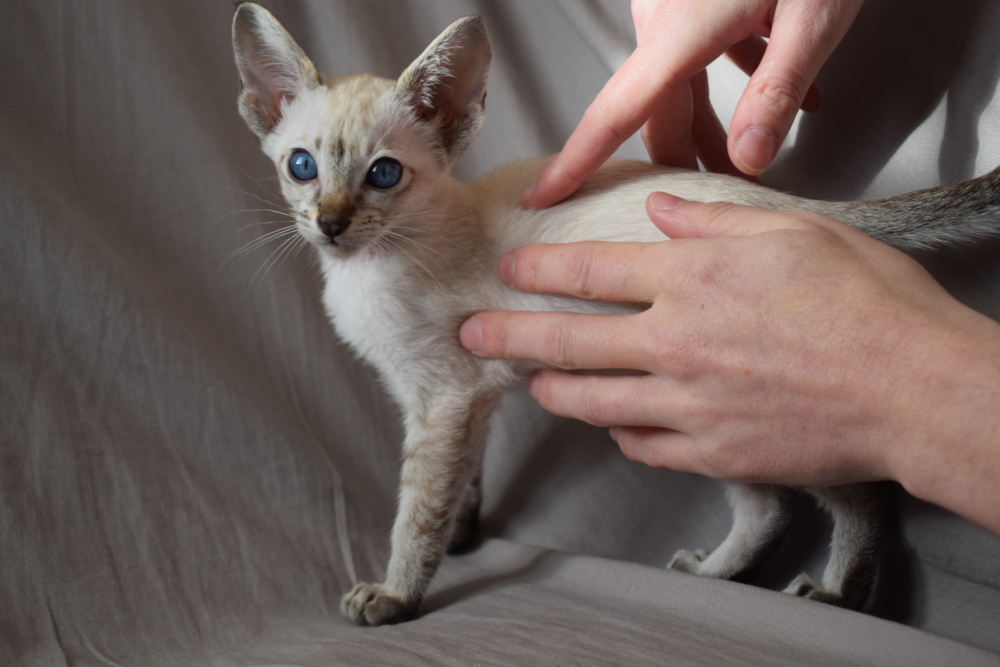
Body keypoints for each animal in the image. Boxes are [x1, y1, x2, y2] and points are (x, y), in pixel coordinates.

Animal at [230, 3, 1000, 628]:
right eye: (302, 167)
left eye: (383, 174)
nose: (330, 224)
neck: (369, 269)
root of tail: (783, 206)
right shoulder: (466, 398)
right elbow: (463, 481)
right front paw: (467, 534)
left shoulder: (445, 395)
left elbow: (417, 511)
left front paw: (396, 593)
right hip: (699, 409)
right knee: (771, 506)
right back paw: (716, 573)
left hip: (756, 399)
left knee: (863, 491)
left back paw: (842, 593)